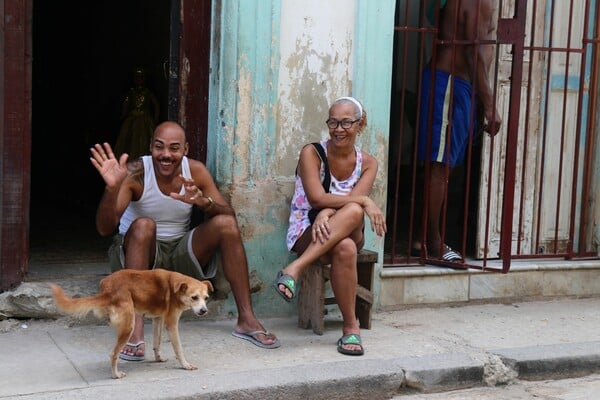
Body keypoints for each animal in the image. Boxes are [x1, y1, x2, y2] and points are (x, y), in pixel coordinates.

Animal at [50, 268, 213, 378]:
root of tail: (106, 289)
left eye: (206, 298)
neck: (176, 288)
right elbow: (179, 349)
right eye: (194, 297)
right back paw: (115, 374)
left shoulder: (157, 319)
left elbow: (157, 342)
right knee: (113, 354)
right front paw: (185, 365)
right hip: (129, 325)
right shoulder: (171, 324)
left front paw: (158, 358)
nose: (204, 310)